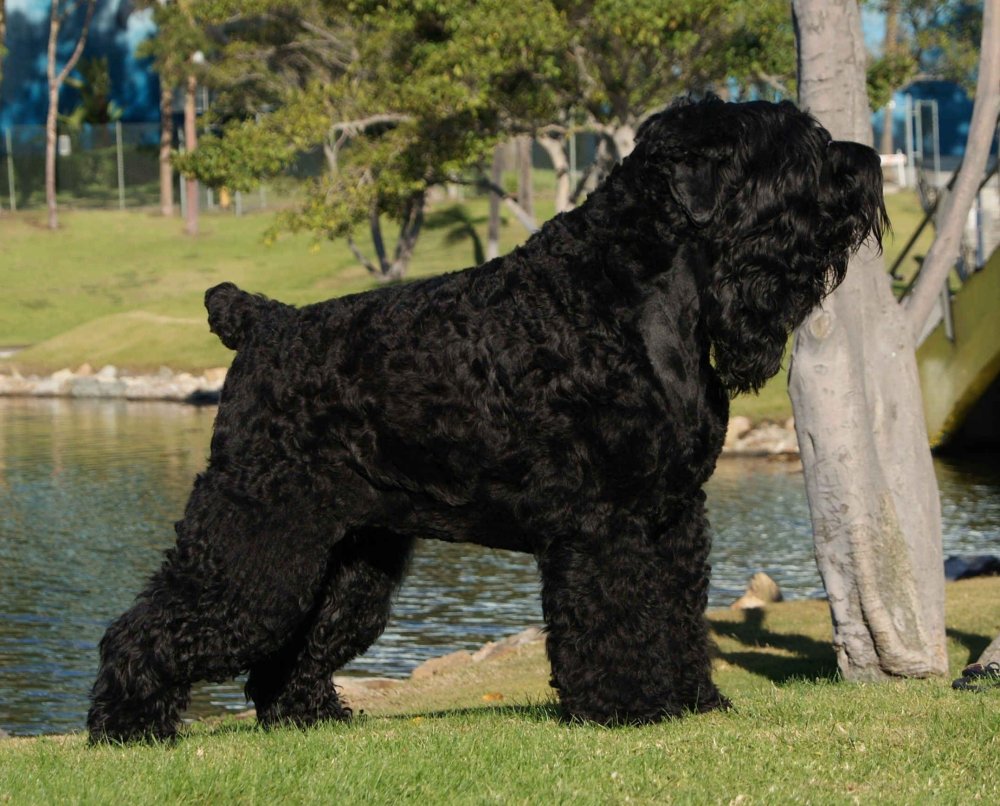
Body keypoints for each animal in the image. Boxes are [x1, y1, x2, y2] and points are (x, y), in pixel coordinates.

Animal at [86, 98, 884, 740]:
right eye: (790, 149)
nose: (865, 161)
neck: (632, 299)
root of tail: (263, 322)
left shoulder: (675, 516)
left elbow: (677, 613)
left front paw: (692, 700)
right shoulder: (604, 522)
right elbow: (617, 615)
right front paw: (630, 707)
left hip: (348, 559)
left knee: (294, 645)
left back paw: (309, 716)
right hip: (257, 534)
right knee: (151, 626)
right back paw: (129, 726)